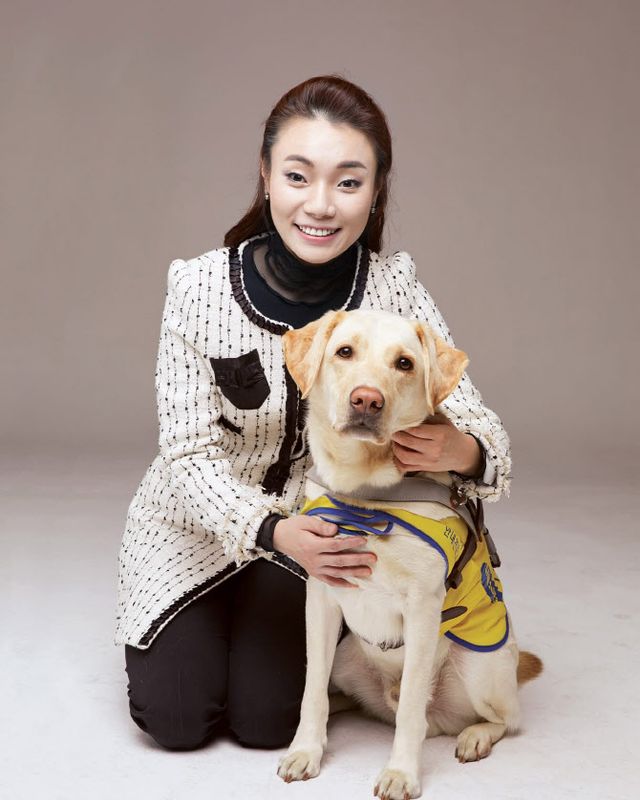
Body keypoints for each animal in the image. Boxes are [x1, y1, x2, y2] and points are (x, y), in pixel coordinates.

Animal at [276, 308, 542, 800]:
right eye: (344, 352)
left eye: (404, 363)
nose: (366, 400)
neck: (365, 494)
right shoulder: (321, 597)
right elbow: (312, 690)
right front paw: (306, 749)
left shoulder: (422, 608)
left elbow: (411, 710)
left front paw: (401, 772)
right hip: (348, 655)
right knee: (346, 696)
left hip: (479, 668)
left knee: (505, 718)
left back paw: (475, 736)